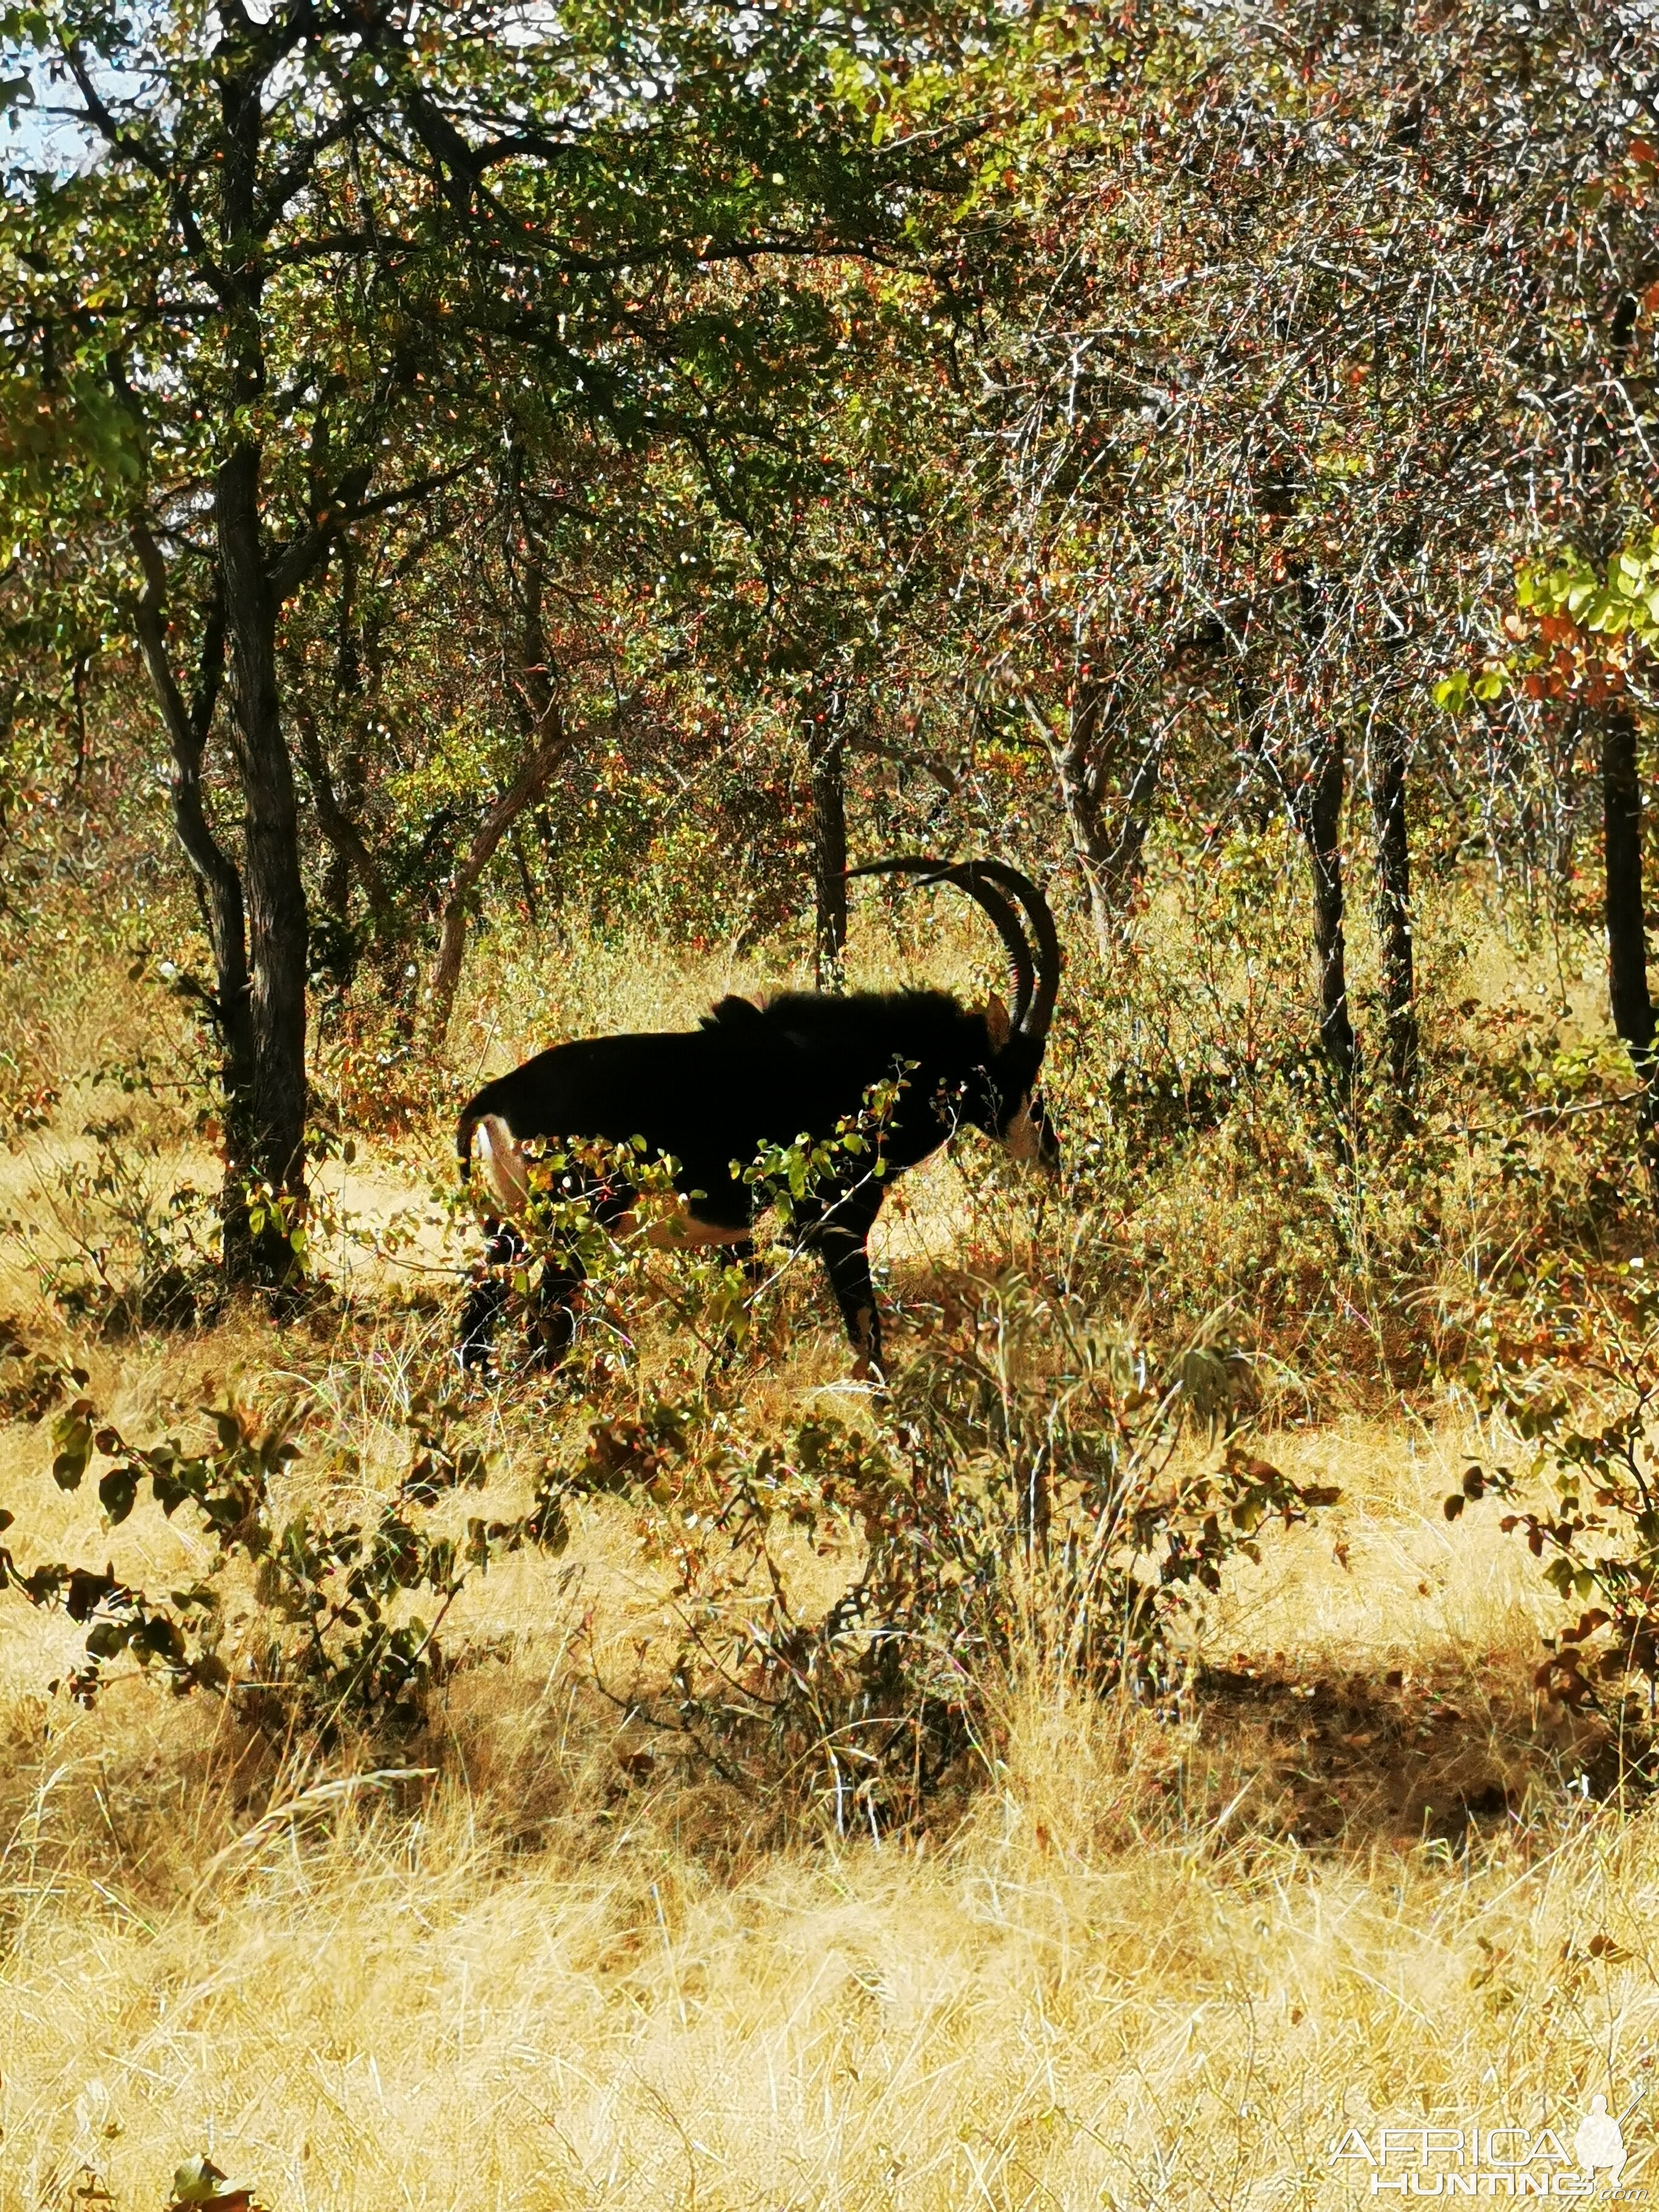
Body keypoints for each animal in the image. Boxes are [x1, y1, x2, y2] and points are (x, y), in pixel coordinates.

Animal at [455, 854, 1057, 1371]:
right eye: (1019, 1072)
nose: (1049, 1151)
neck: (864, 1066)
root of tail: (495, 1097)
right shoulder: (837, 1223)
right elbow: (866, 1335)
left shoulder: (739, 1240)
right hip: (573, 1230)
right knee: (542, 1333)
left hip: (508, 1231)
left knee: (477, 1318)